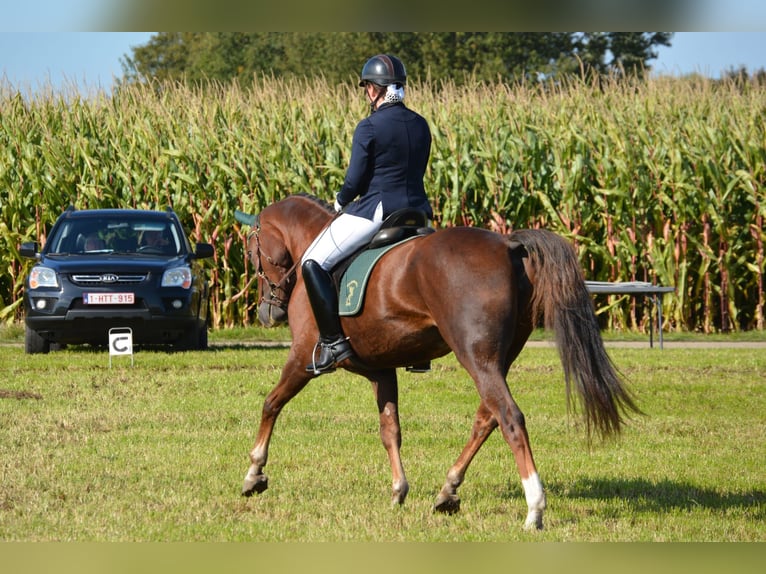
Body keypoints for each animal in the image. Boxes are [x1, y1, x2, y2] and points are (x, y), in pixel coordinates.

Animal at [236, 194, 640, 532]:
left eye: (251, 252)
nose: (268, 313)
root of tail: (509, 245)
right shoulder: (381, 370)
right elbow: (390, 430)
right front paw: (398, 490)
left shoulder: (302, 357)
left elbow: (271, 403)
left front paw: (254, 473)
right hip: (497, 359)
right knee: (487, 417)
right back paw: (448, 491)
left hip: (476, 357)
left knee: (509, 418)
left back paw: (534, 510)